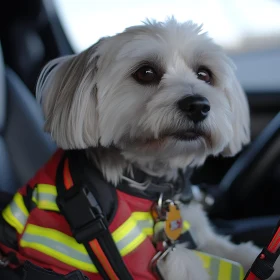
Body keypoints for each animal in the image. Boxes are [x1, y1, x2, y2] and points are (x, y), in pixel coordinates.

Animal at [35, 18, 280, 280]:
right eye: (145, 72)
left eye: (204, 74)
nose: (198, 105)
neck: (154, 186)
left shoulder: (199, 232)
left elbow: (240, 253)